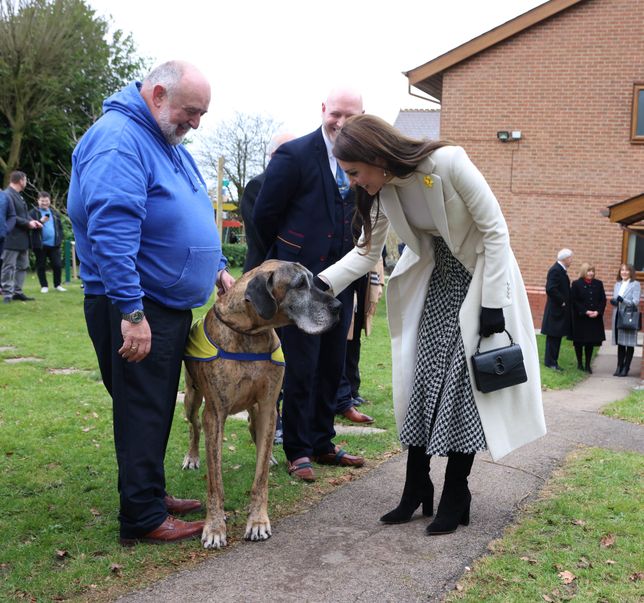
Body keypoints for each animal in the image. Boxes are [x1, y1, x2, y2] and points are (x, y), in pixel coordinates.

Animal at [182, 260, 342, 552]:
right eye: (299, 285)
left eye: (313, 281)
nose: (338, 306)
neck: (250, 332)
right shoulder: (216, 414)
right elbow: (215, 482)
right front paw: (215, 526)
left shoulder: (268, 406)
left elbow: (261, 476)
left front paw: (257, 521)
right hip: (191, 397)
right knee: (194, 425)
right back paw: (192, 456)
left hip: (256, 411)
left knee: (254, 432)